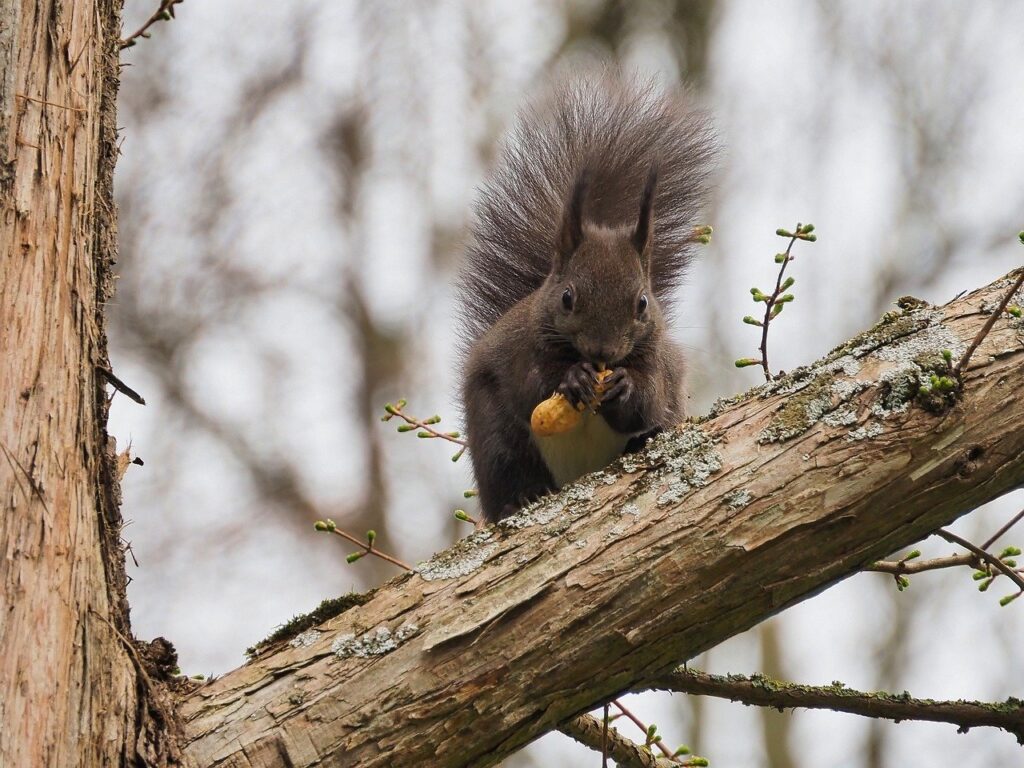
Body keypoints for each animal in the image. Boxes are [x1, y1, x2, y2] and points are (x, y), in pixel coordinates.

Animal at [457, 75, 715, 522]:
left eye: (643, 303)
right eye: (567, 297)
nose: (602, 351)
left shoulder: (658, 362)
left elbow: (649, 399)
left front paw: (626, 386)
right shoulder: (520, 348)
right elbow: (530, 385)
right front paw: (572, 377)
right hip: (493, 437)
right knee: (508, 469)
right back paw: (521, 497)